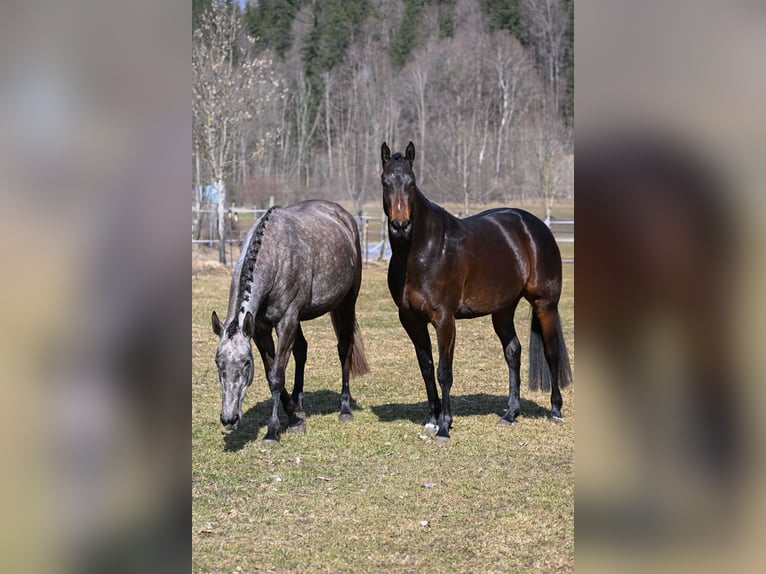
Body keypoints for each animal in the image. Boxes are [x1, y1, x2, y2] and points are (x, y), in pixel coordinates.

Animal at [211, 200, 369, 444]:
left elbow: (277, 375)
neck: (275, 256)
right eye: (218, 363)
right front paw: (294, 418)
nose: (229, 418)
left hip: (346, 303)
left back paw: (345, 409)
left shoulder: (286, 321)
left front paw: (272, 431)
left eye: (246, 363)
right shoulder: (261, 330)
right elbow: (272, 372)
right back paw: (299, 404)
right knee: (301, 350)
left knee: (344, 348)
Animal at [380, 141, 573, 442]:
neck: (422, 251)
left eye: (411, 183)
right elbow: (426, 368)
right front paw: (432, 420)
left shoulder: (444, 319)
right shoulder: (411, 320)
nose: (401, 226)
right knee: (513, 351)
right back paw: (510, 413)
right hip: (503, 310)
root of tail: (536, 226)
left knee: (551, 352)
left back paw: (555, 410)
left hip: (545, 304)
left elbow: (444, 372)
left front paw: (444, 427)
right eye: (385, 182)